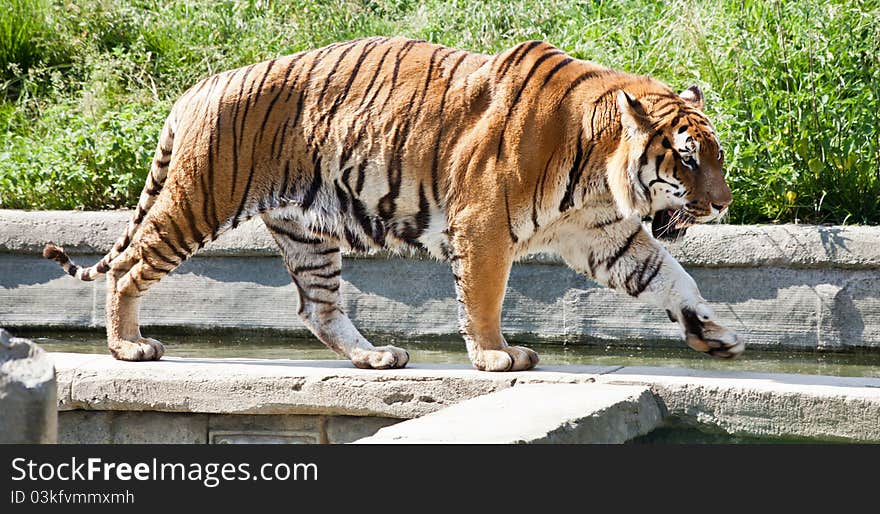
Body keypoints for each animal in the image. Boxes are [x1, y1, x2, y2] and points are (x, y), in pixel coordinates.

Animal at [41, 37, 744, 372]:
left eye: (715, 156)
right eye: (687, 160)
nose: (722, 206)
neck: (601, 166)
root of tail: (198, 87)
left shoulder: (600, 233)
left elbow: (668, 276)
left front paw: (716, 331)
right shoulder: (484, 226)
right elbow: (483, 297)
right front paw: (496, 356)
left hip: (307, 233)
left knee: (317, 308)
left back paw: (376, 357)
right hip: (198, 200)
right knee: (131, 268)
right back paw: (128, 348)